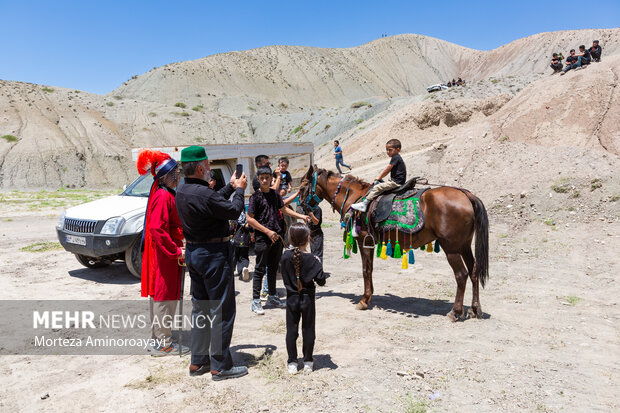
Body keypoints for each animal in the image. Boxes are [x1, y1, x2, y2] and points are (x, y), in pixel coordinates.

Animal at [300, 166, 490, 320]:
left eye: (302, 187)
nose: (302, 207)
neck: (356, 197)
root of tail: (467, 195)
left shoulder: (363, 241)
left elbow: (365, 270)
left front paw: (364, 300)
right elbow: (370, 270)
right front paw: (369, 296)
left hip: (451, 248)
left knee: (461, 275)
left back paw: (455, 312)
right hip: (464, 245)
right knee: (473, 272)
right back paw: (475, 309)